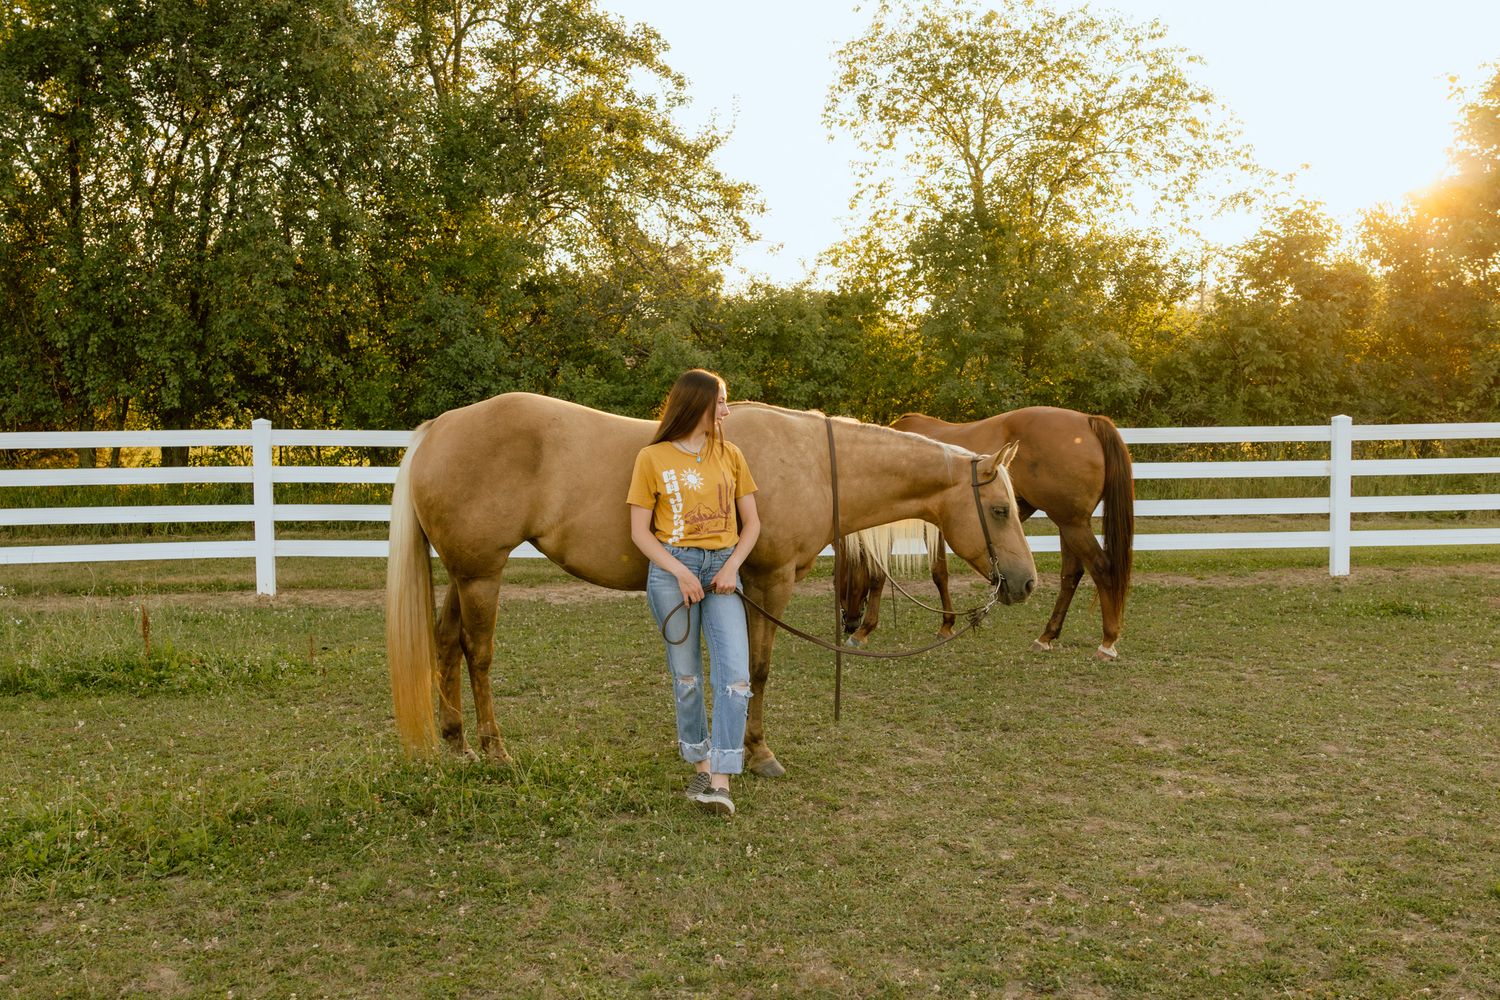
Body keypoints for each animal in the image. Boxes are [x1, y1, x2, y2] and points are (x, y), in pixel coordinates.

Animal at [386, 393, 1037, 777]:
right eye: (1000, 509)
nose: (1025, 583)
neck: (811, 462)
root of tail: (439, 428)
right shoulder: (769, 582)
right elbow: (758, 669)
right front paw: (759, 751)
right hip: (481, 574)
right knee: (477, 653)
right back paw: (493, 749)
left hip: (465, 573)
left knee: (445, 645)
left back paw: (456, 744)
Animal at [839, 406, 1134, 660]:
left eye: (841, 580)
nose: (848, 624)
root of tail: (1088, 420)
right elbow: (939, 574)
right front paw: (946, 624)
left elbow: (879, 576)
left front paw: (865, 631)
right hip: (1068, 524)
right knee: (1071, 575)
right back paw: (1046, 636)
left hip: (1073, 525)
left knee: (1102, 568)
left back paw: (1107, 643)